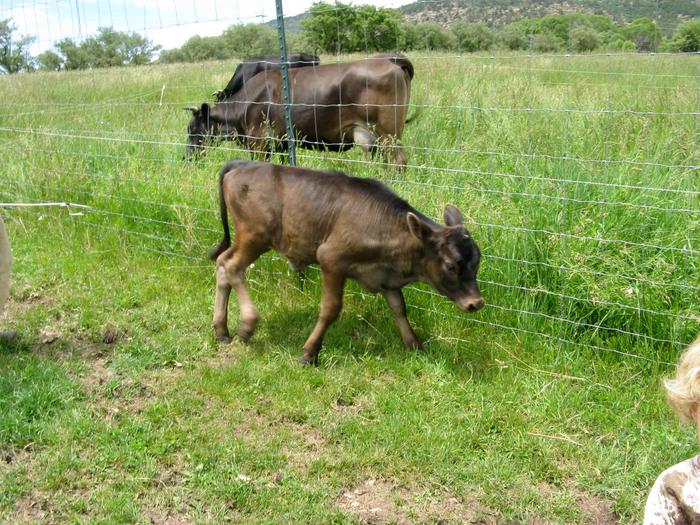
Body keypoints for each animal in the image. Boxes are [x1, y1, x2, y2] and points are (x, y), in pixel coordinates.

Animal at [186, 55, 416, 166]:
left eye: (193, 129)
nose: (186, 157)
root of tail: (391, 60)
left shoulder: (259, 143)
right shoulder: (280, 144)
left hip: (387, 132)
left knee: (399, 162)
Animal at [211, 159, 484, 364]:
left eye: (477, 262)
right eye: (451, 265)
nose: (476, 303)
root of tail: (243, 163)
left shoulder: (386, 277)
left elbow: (399, 308)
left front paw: (415, 345)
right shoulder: (331, 259)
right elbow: (331, 309)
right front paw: (309, 353)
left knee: (223, 263)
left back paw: (221, 330)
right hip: (254, 236)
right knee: (233, 266)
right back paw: (247, 324)